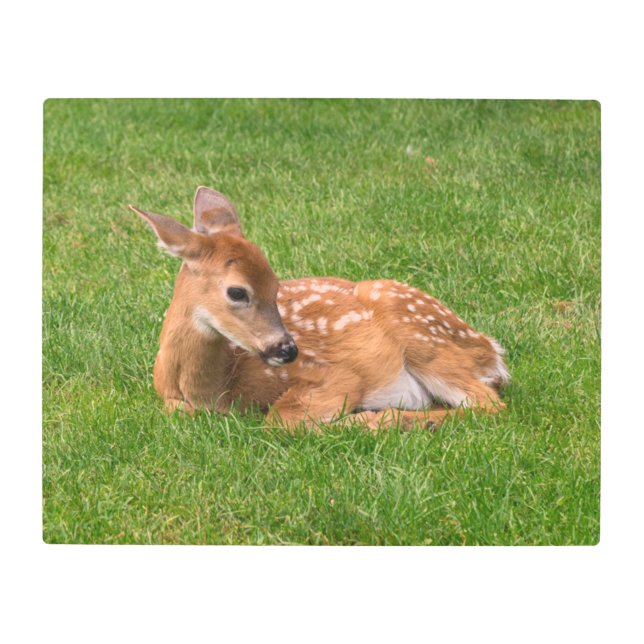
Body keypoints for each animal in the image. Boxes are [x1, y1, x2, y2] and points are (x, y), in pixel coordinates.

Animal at [128, 187, 509, 431]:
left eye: (276, 285)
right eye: (237, 291)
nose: (288, 350)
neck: (215, 388)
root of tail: (491, 350)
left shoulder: (334, 375)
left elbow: (280, 418)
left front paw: (362, 418)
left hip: (423, 336)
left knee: (489, 404)